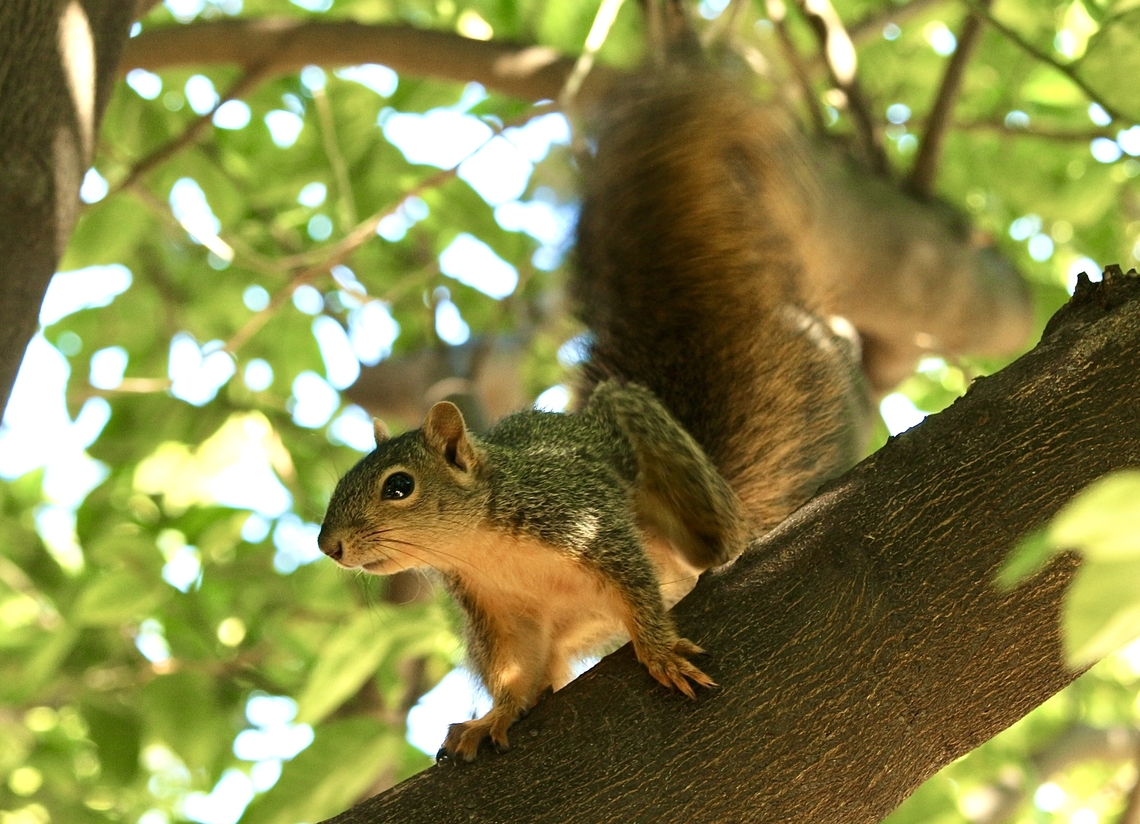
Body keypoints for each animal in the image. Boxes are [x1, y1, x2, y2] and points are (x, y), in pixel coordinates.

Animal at [318, 379, 747, 761]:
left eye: (400, 486)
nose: (327, 546)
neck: (480, 545)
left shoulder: (588, 523)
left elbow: (636, 587)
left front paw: (660, 654)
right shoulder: (497, 606)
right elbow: (515, 661)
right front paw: (496, 716)